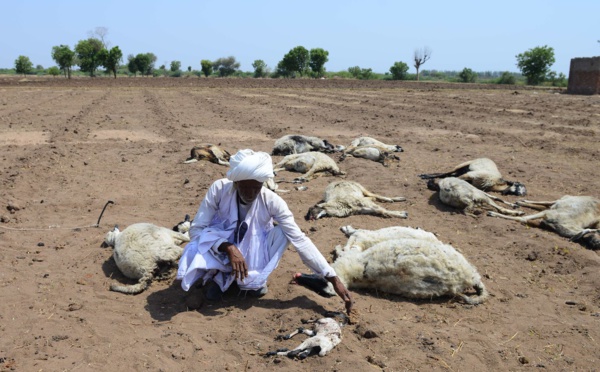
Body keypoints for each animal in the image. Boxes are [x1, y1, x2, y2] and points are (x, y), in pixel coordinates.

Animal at [294, 225, 488, 304]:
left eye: (319, 281)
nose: (297, 277)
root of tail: (470, 278)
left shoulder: (355, 250)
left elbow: (349, 244)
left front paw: (339, 245)